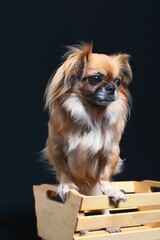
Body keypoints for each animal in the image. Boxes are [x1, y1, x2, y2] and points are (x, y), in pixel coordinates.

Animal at [44, 42, 132, 232]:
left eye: (118, 81)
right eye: (96, 79)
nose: (112, 88)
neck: (92, 114)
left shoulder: (112, 150)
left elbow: (104, 176)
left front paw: (111, 191)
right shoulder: (55, 147)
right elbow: (64, 170)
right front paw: (66, 186)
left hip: (94, 192)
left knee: (98, 203)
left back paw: (110, 225)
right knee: (81, 212)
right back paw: (83, 229)